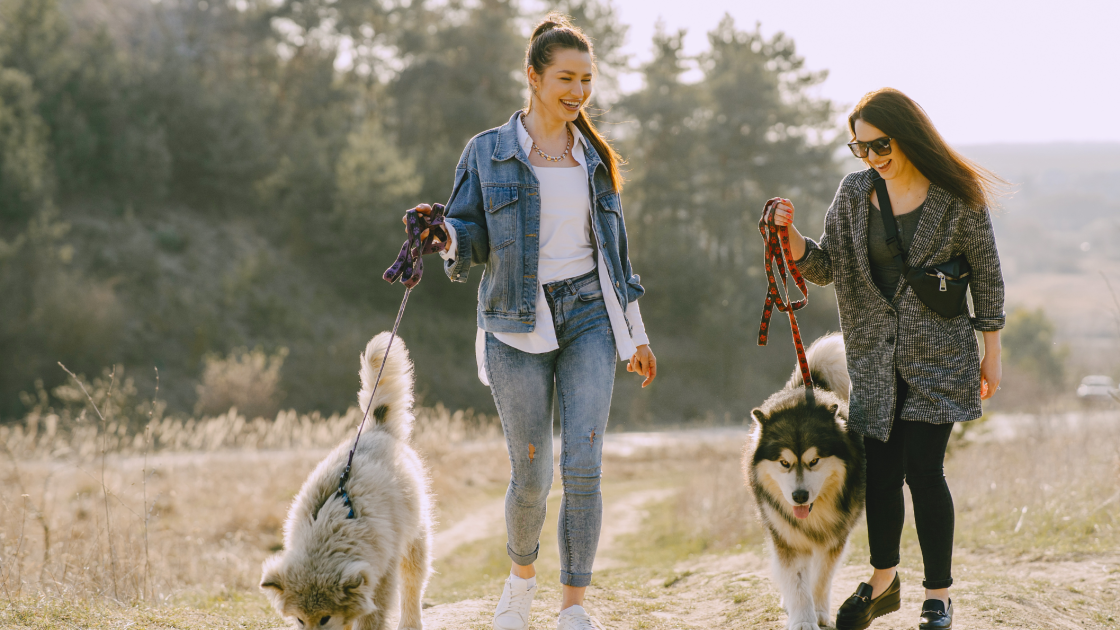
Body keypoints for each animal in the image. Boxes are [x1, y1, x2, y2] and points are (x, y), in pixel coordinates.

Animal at [260, 331, 432, 623]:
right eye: (300, 620)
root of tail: (377, 429)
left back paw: (411, 622)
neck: (332, 526)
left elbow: (372, 617)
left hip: (414, 542)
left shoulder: (381, 575)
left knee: (412, 587)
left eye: (325, 618)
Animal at [743, 334, 864, 627]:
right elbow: (797, 581)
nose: (799, 496)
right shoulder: (786, 536)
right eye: (784, 463)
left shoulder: (835, 536)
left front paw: (818, 614)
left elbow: (821, 577)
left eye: (814, 461)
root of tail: (807, 388)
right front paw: (802, 620)